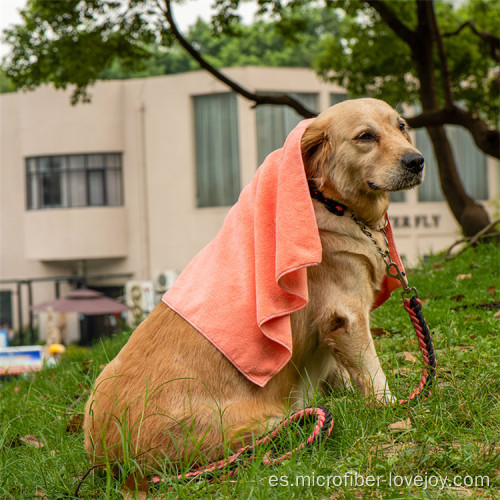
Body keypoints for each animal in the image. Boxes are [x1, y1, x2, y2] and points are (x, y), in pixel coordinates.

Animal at [83, 97, 426, 472]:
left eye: (402, 126)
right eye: (366, 136)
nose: (417, 161)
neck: (333, 204)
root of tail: (111, 457)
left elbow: (342, 373)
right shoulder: (345, 314)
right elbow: (371, 373)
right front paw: (388, 407)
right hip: (261, 420)